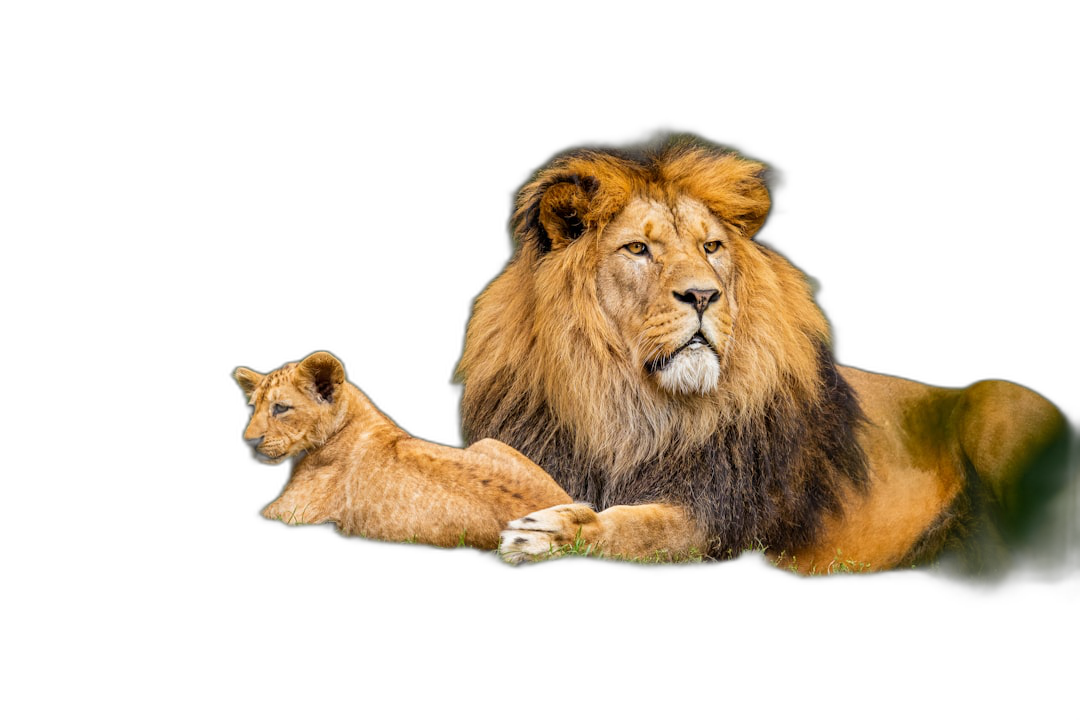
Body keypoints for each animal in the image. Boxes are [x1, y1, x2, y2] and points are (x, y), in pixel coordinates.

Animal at [451, 136, 1075, 587]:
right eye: (637, 249)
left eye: (711, 247)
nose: (703, 295)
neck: (629, 407)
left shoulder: (721, 518)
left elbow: (640, 527)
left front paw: (552, 534)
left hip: (997, 403)